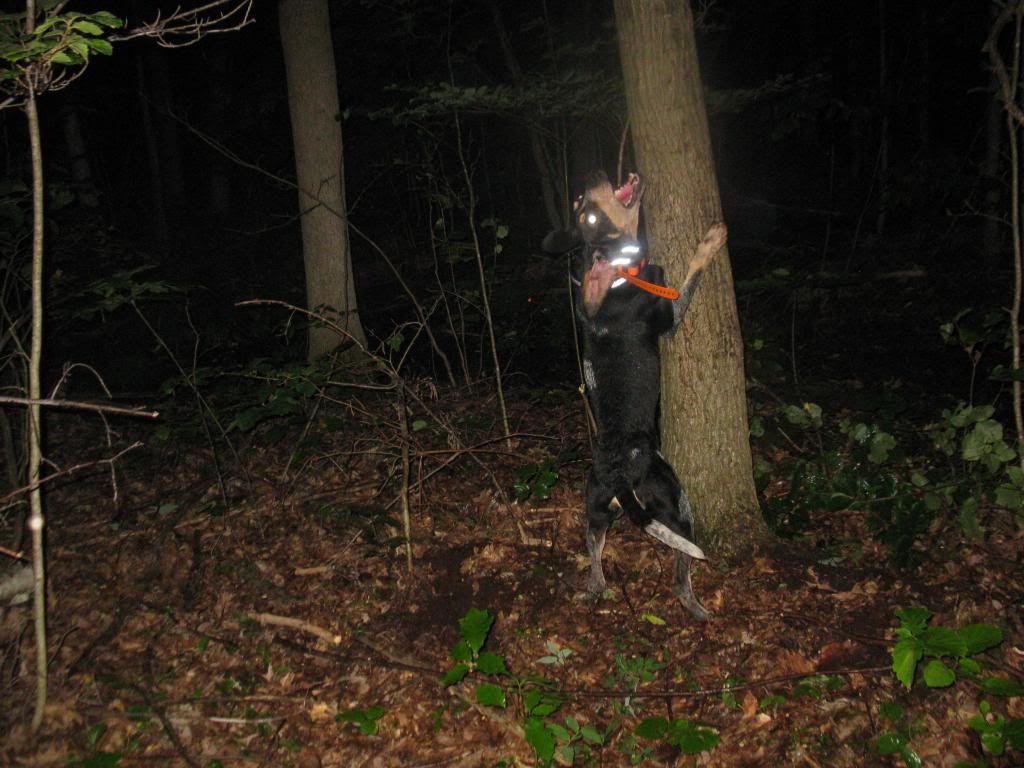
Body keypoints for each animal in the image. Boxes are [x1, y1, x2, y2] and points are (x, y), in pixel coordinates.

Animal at [544, 170, 726, 622]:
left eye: (579, 204)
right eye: (588, 214)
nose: (590, 176)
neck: (620, 274)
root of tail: (618, 477)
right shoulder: (670, 314)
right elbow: (690, 274)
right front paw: (711, 240)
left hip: (592, 510)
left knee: (595, 569)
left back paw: (592, 592)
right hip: (676, 504)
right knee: (680, 576)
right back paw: (697, 607)